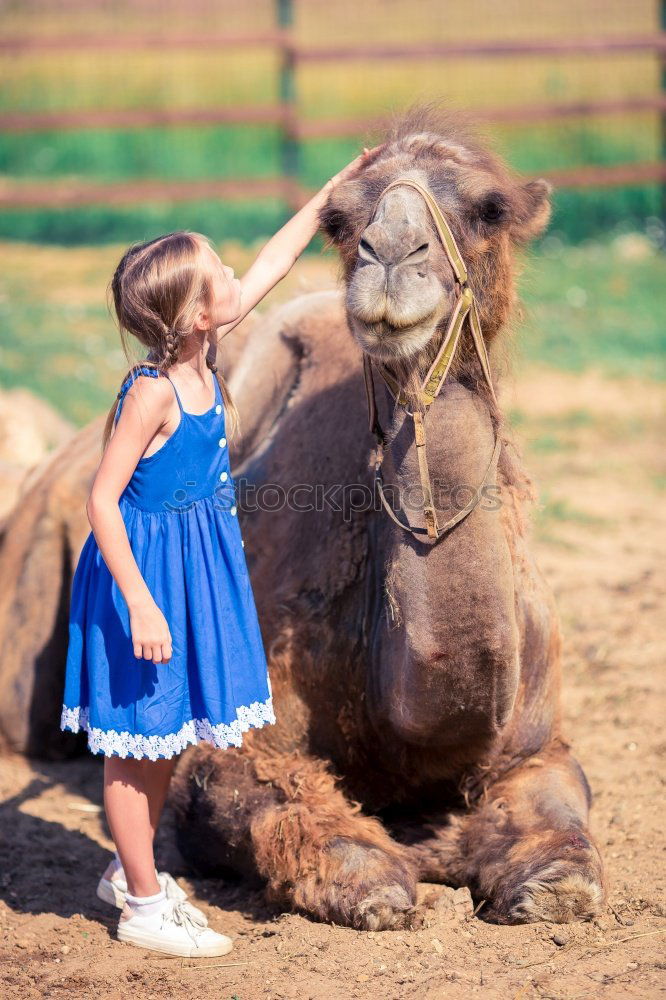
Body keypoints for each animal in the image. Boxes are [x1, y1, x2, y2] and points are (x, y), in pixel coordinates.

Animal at [0, 103, 604, 928]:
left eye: (489, 209)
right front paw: (382, 878)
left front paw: (542, 879)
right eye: (343, 220)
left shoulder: (535, 742)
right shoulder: (244, 733)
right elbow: (291, 820)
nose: (391, 255)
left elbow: (565, 839)